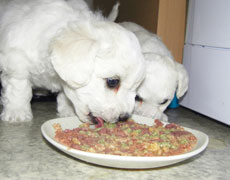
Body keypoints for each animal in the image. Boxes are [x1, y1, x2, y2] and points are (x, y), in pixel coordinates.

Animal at [0, 0, 145, 124]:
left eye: (136, 88)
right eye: (113, 82)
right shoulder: (15, 61)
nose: (124, 117)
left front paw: (67, 110)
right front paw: (17, 112)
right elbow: (19, 87)